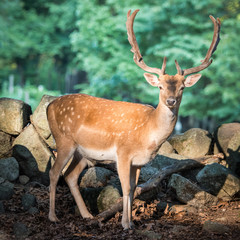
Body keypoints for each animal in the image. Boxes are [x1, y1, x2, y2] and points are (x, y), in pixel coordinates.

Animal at [47, 9, 221, 230]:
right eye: (160, 86)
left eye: (182, 87)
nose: (171, 101)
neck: (148, 133)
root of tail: (49, 106)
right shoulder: (122, 152)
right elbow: (126, 188)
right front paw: (124, 223)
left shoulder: (138, 162)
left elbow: (135, 187)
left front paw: (131, 222)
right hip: (64, 140)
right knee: (54, 173)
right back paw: (53, 216)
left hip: (82, 152)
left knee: (70, 175)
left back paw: (88, 215)